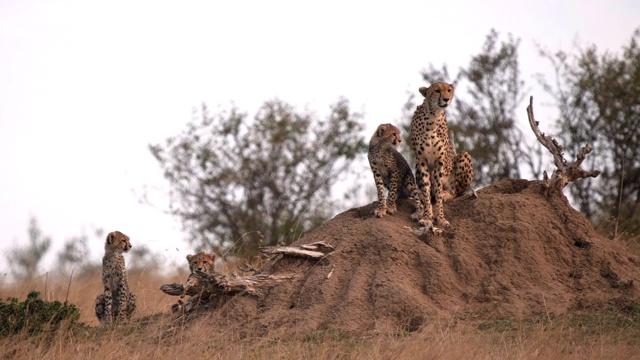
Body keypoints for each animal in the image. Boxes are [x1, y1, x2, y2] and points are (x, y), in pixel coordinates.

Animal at [410, 82, 476, 229]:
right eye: (437, 91)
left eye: (449, 90)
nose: (446, 99)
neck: (433, 117)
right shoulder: (421, 160)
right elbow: (427, 190)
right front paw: (427, 217)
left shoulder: (439, 162)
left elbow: (438, 192)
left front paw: (440, 218)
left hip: (464, 156)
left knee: (457, 192)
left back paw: (447, 194)